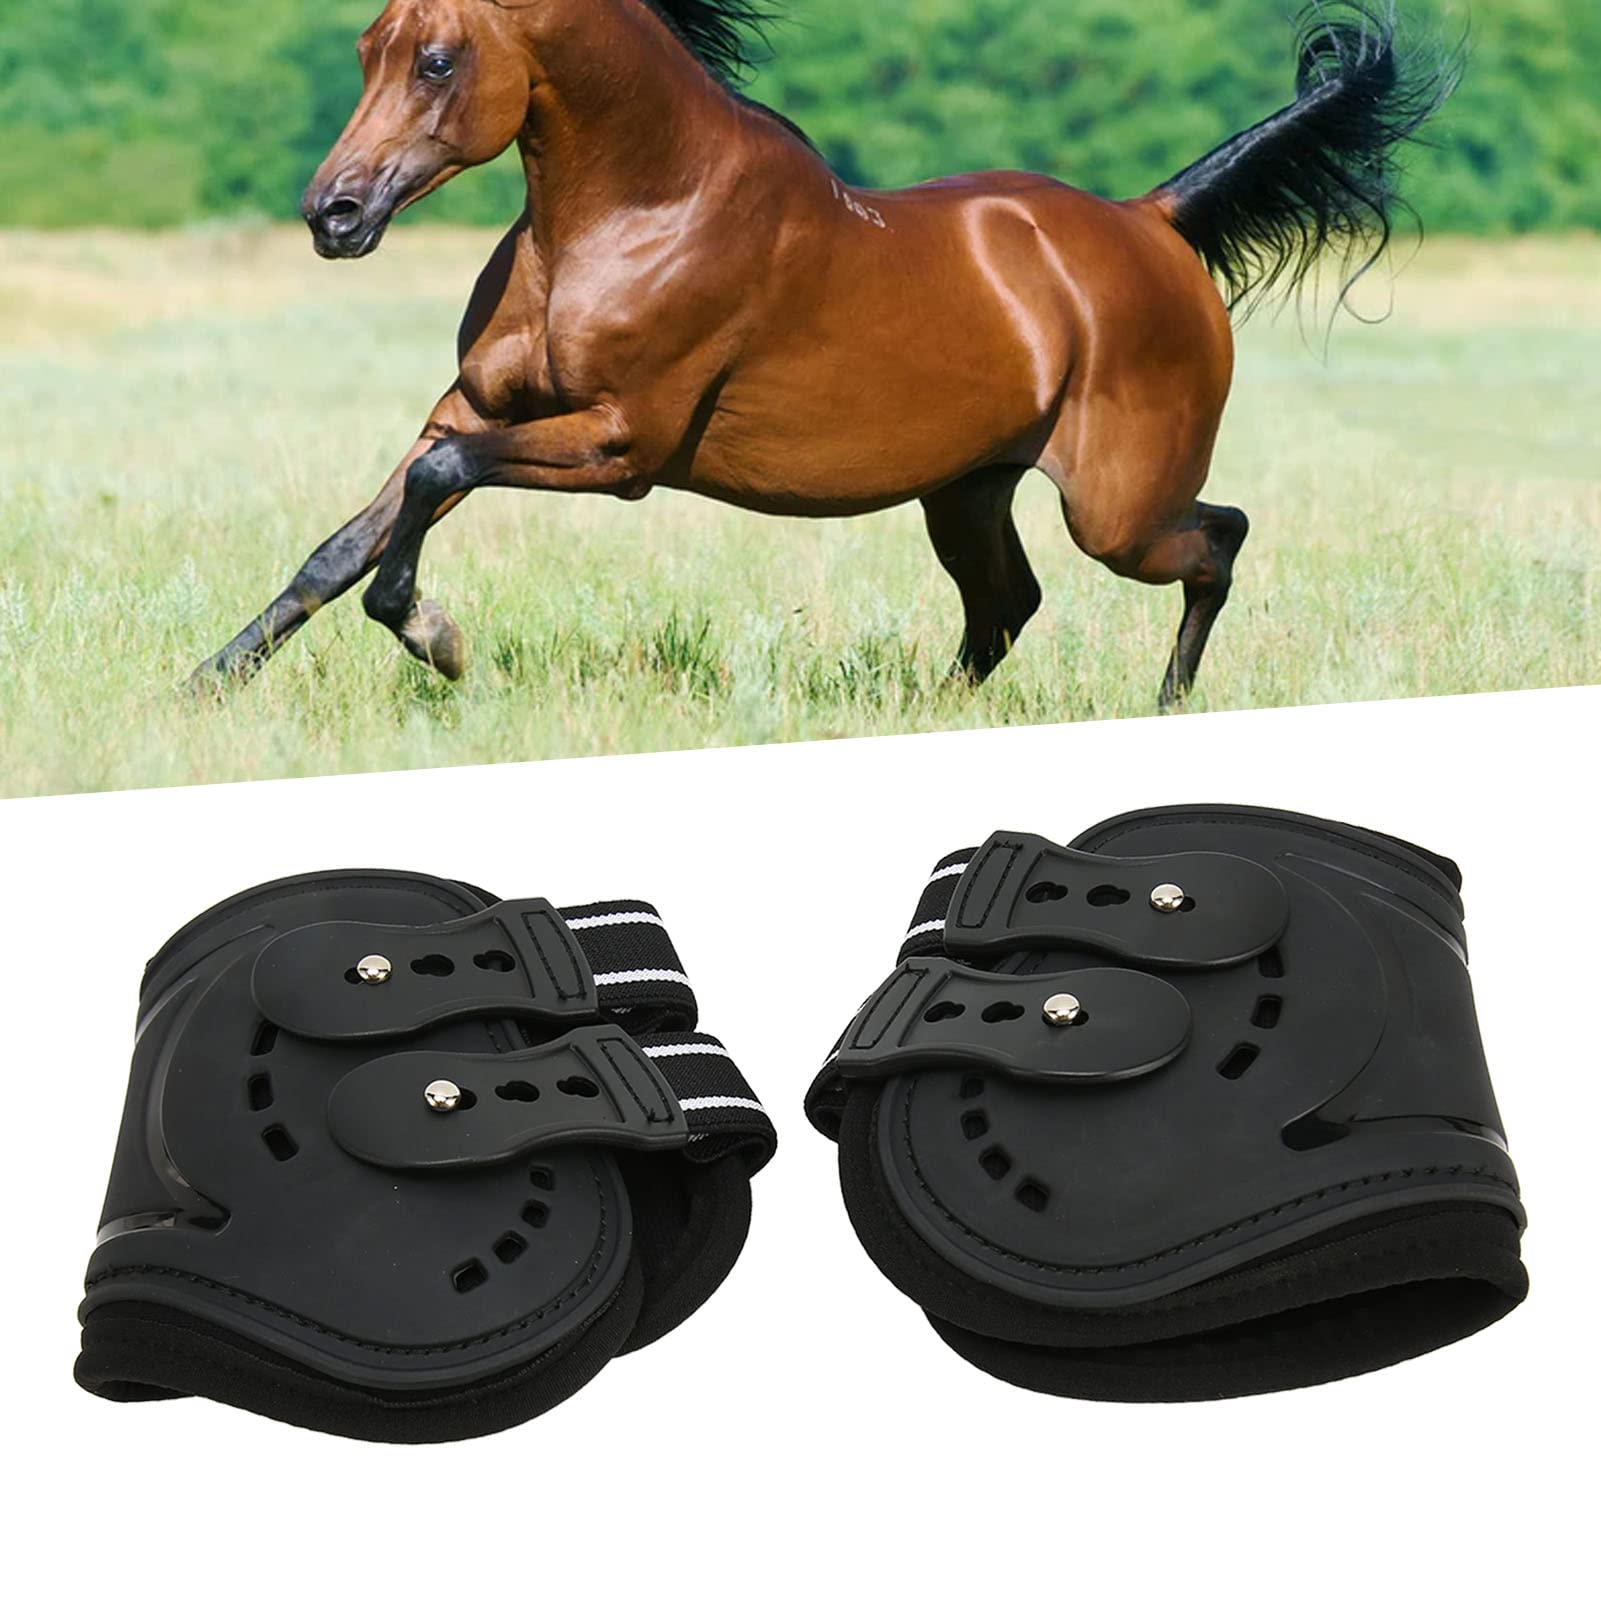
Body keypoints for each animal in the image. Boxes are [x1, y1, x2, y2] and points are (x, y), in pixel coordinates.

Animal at [188, 0, 1454, 709]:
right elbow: (343, 542)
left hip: (1117, 507)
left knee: (1215, 540)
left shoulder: (617, 447)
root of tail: (1153, 220)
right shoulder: (469, 408)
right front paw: (206, 685)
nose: (333, 214)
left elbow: (424, 503)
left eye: (439, 61)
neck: (637, 207)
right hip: (968, 489)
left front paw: (436, 640)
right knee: (1007, 603)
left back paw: (1167, 706)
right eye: (368, 46)